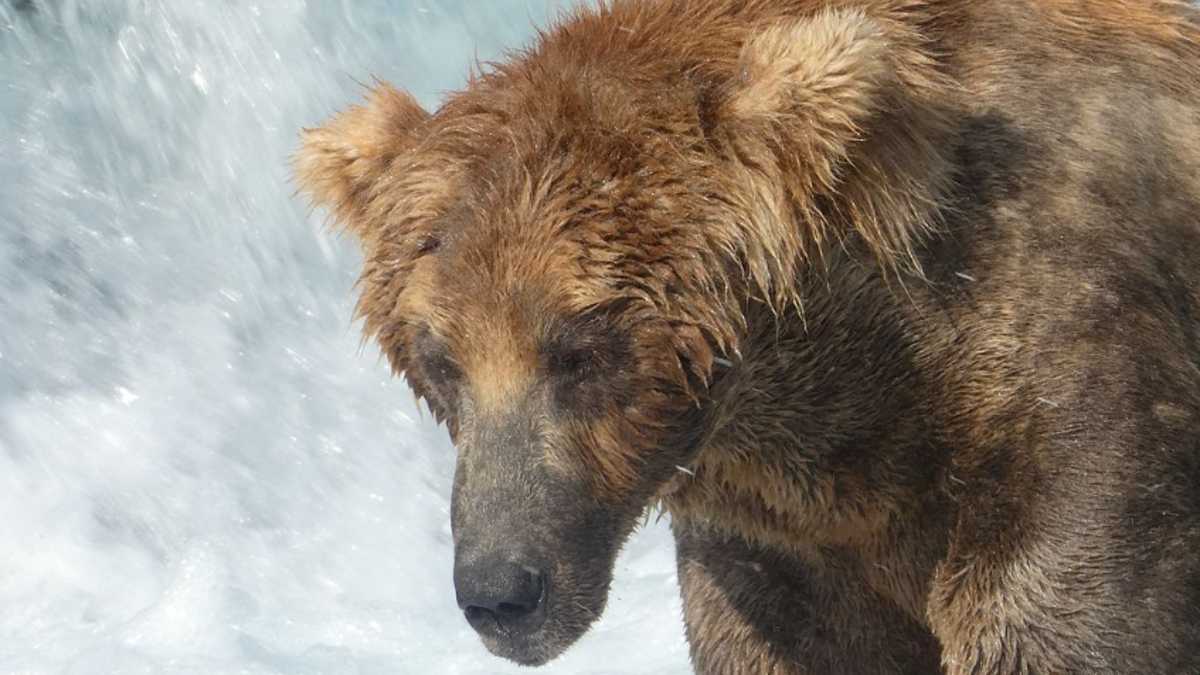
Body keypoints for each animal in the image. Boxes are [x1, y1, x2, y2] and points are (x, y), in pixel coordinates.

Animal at [293, 0, 1200, 672]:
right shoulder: (783, 543)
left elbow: (1063, 618)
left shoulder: (1062, 366)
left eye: (580, 348)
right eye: (440, 361)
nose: (501, 589)